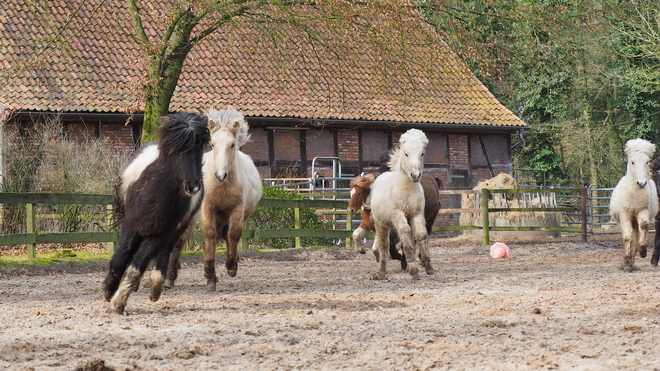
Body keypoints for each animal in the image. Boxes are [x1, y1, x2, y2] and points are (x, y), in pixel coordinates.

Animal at [199, 107, 260, 290]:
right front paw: (209, 275)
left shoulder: (237, 209)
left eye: (232, 144)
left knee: (228, 235)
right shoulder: (207, 208)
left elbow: (234, 234)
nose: (220, 175)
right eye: (212, 144)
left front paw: (231, 266)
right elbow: (210, 234)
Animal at [366, 129, 434, 280]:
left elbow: (421, 235)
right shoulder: (398, 214)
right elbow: (405, 235)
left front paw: (429, 268)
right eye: (406, 153)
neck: (406, 190)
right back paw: (381, 272)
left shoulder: (416, 214)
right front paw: (414, 271)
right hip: (381, 224)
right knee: (384, 246)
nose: (415, 175)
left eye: (422, 153)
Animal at [612, 138, 656, 272]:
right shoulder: (625, 214)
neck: (634, 194)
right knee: (630, 237)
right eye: (632, 162)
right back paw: (628, 263)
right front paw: (626, 263)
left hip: (635, 221)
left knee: (636, 238)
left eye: (647, 161)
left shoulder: (643, 211)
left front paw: (643, 251)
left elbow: (644, 226)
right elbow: (627, 237)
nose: (641, 183)